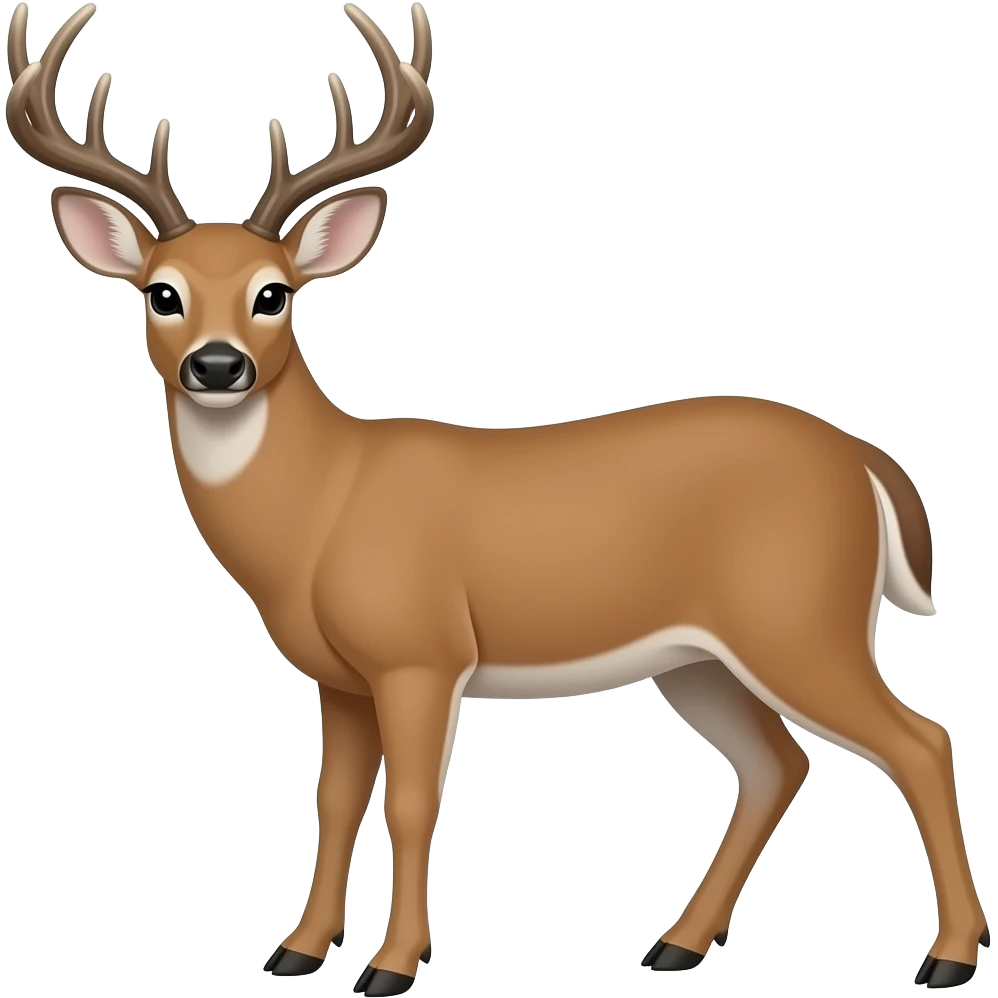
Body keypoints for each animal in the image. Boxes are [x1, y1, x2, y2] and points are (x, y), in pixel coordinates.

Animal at [4, 1, 988, 993]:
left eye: (273, 294)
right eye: (161, 294)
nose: (217, 365)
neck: (323, 507)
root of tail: (862, 458)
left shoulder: (422, 652)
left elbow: (408, 802)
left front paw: (393, 965)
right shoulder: (340, 677)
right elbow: (333, 800)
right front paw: (296, 950)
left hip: (799, 618)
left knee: (920, 740)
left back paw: (946, 956)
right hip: (698, 658)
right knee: (778, 764)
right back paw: (676, 944)